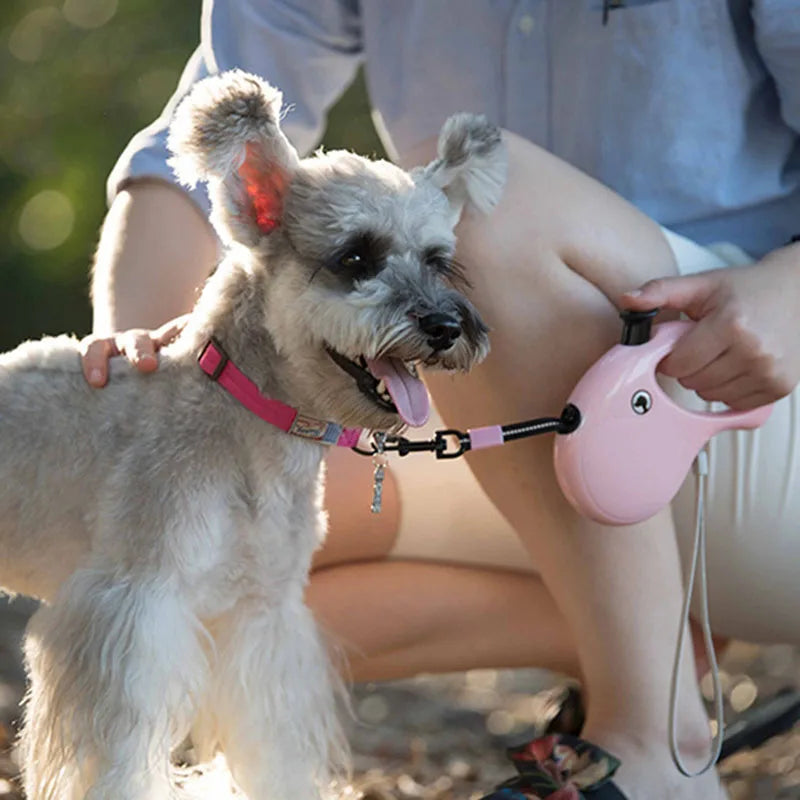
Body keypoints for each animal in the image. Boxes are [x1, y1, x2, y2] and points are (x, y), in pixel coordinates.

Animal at [0, 72, 506, 796]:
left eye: (438, 261)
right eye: (356, 256)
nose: (445, 326)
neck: (249, 424)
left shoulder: (261, 621)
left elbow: (273, 746)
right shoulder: (134, 614)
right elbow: (122, 757)